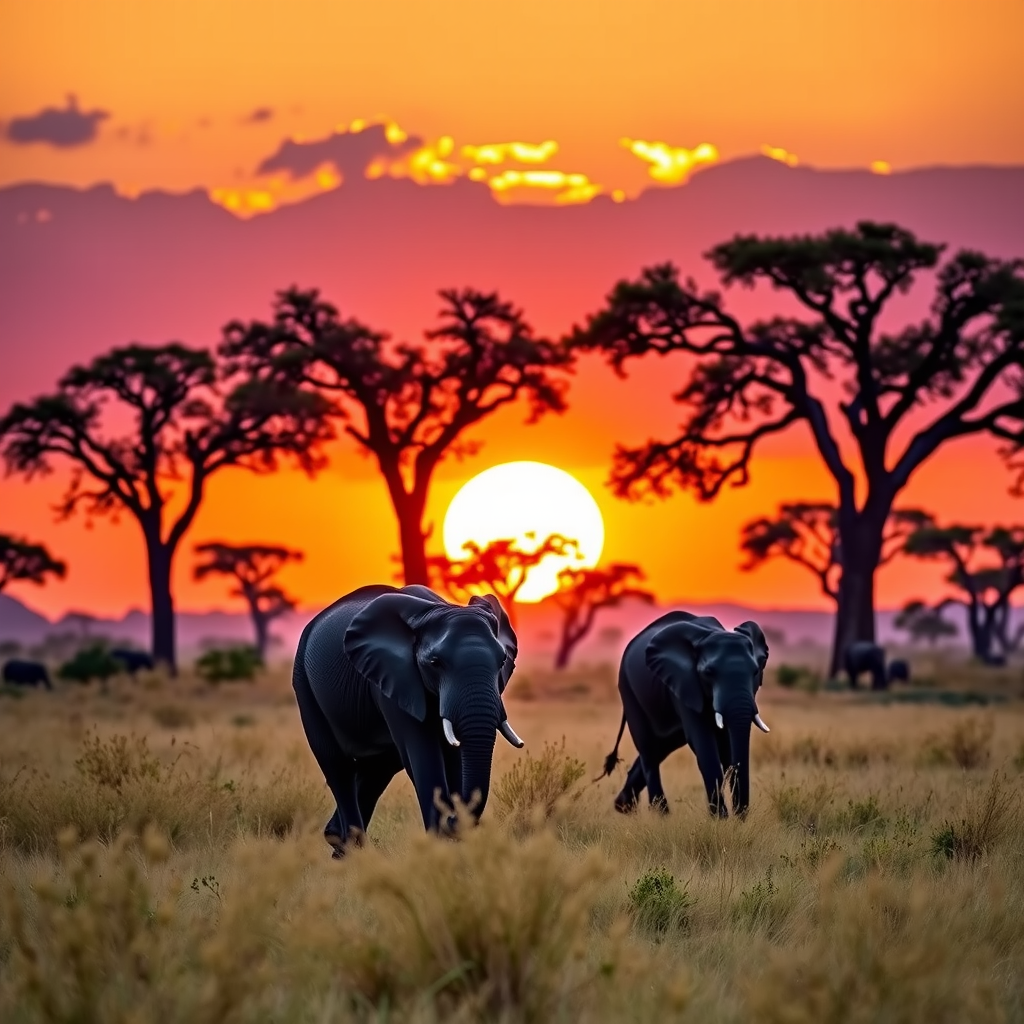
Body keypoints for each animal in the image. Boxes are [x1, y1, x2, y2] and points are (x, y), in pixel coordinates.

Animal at [292, 584, 523, 857]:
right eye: (435, 662)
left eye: (502, 661)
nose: (453, 818)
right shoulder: (394, 678)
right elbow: (423, 753)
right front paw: (439, 845)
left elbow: (453, 755)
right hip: (304, 682)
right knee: (337, 764)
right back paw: (354, 851)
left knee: (378, 768)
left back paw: (338, 843)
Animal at [597, 611, 770, 819]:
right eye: (708, 673)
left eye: (755, 671)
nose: (740, 814)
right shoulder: (685, 683)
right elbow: (704, 744)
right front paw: (721, 819)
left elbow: (727, 745)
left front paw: (735, 819)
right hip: (629, 690)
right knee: (649, 751)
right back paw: (661, 816)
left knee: (660, 747)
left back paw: (623, 807)